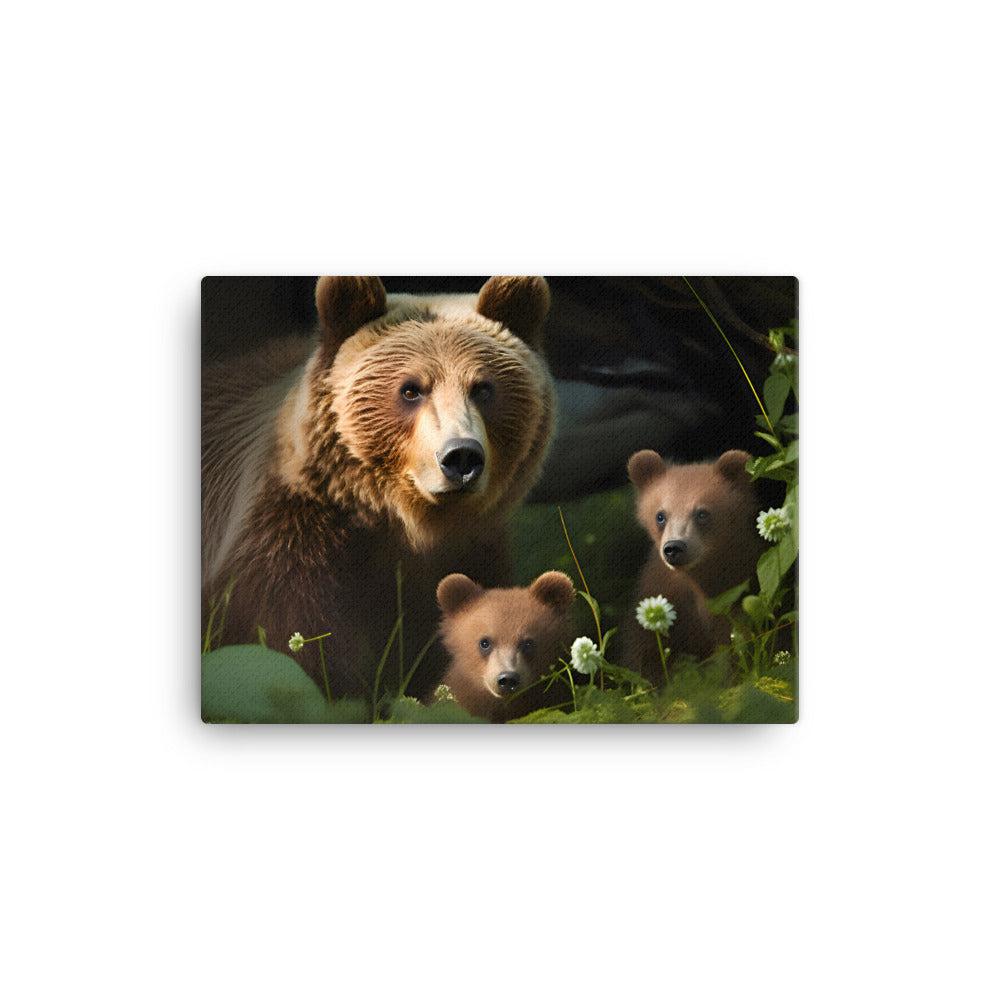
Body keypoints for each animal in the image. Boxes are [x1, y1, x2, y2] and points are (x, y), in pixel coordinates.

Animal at [202, 276, 556, 701]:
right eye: (411, 389)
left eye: (483, 388)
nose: (461, 457)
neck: (397, 524)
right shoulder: (287, 549)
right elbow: (295, 647)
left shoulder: (469, 554)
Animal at [620, 449, 765, 680]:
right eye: (660, 515)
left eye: (702, 513)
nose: (674, 548)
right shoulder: (662, 591)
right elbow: (646, 653)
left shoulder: (735, 591)